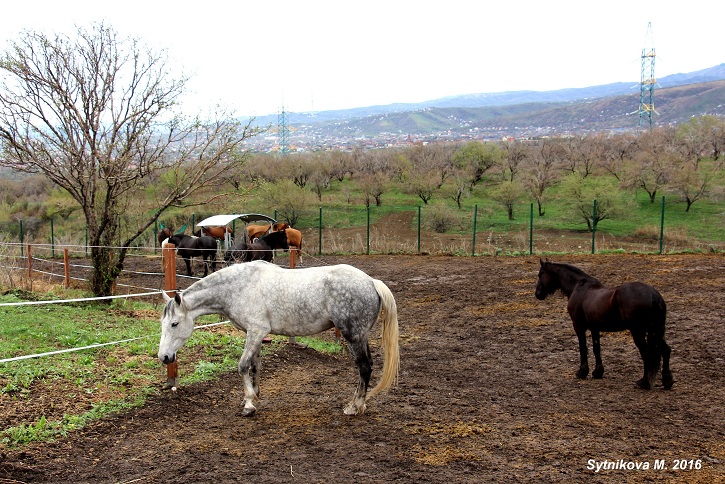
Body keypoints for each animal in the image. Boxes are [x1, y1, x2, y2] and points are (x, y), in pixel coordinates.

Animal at [157, 260, 402, 416]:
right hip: (360, 336)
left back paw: (354, 406)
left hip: (353, 335)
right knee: (367, 366)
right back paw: (360, 404)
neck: (238, 287)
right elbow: (255, 366)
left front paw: (248, 405)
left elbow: (243, 365)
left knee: (364, 367)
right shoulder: (253, 333)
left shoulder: (257, 331)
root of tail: (371, 282)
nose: (164, 357)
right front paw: (252, 396)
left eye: (174, 323)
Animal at [532, 260, 672, 390]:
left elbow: (583, 348)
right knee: (666, 350)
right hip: (656, 331)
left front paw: (582, 372)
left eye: (540, 274)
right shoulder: (595, 328)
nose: (537, 294)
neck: (579, 287)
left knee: (647, 354)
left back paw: (644, 382)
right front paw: (597, 372)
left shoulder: (578, 326)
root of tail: (653, 295)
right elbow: (596, 348)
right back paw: (667, 381)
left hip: (638, 331)